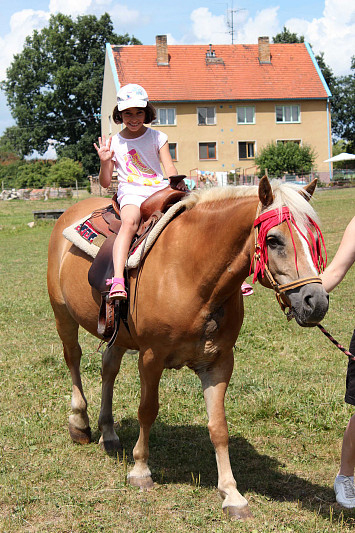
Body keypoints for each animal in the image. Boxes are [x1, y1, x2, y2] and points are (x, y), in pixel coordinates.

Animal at [48, 177, 330, 516]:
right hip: (63, 314)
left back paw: (109, 432)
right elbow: (147, 410)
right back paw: (79, 423)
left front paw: (231, 493)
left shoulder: (219, 362)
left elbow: (218, 427)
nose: (316, 302)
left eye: (315, 239)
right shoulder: (151, 358)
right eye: (273, 240)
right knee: (73, 359)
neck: (191, 274)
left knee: (108, 368)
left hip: (119, 335)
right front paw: (140, 470)